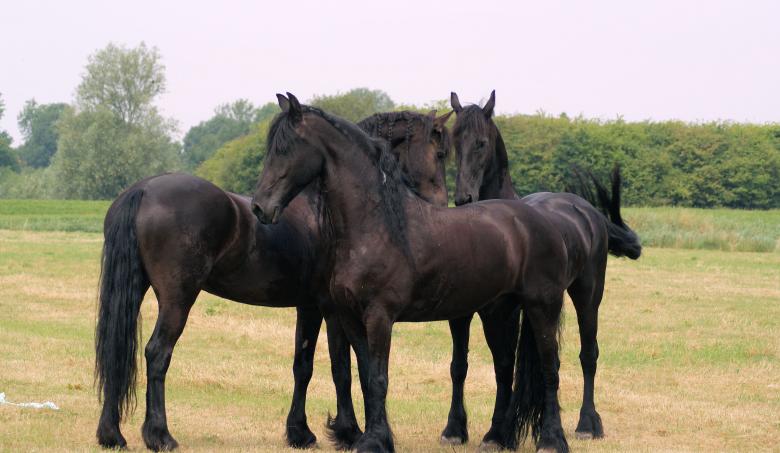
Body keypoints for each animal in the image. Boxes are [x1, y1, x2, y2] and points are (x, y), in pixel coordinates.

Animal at [94, 109, 453, 451]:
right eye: (439, 153)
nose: (440, 205)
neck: (327, 209)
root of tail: (143, 190)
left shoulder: (308, 306)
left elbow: (303, 365)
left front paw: (301, 432)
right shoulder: (332, 308)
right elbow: (341, 368)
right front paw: (348, 432)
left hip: (135, 292)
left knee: (116, 351)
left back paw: (112, 435)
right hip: (177, 298)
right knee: (157, 353)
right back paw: (160, 436)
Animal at [252, 93, 573, 453]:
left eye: (286, 148)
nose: (260, 207)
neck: (379, 224)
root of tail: (541, 220)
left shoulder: (379, 317)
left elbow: (378, 378)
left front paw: (372, 441)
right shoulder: (350, 317)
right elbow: (363, 376)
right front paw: (374, 436)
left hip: (542, 307)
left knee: (549, 368)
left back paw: (552, 440)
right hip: (499, 312)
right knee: (505, 367)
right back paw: (496, 437)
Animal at [449, 90, 642, 445]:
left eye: (481, 143)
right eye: (454, 141)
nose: (463, 198)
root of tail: (589, 212)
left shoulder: (507, 312)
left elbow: (505, 366)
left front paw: (499, 430)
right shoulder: (471, 311)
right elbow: (467, 366)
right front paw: (464, 430)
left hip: (588, 297)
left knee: (588, 355)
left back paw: (587, 424)